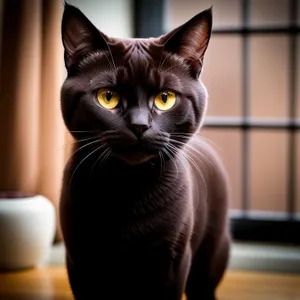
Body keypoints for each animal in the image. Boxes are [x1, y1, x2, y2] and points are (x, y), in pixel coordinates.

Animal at [59, 2, 232, 300]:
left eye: (165, 98)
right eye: (108, 97)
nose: (139, 125)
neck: (128, 187)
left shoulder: (172, 260)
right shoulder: (80, 259)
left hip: (211, 255)